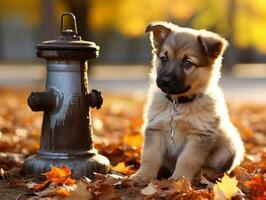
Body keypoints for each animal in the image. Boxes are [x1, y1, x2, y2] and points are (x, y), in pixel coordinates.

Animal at [130, 21, 244, 181]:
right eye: (164, 58)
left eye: (187, 63)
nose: (165, 81)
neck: (177, 104)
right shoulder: (155, 129)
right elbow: (149, 156)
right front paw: (142, 176)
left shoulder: (199, 136)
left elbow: (187, 160)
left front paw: (178, 179)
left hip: (229, 144)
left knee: (220, 169)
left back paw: (205, 173)